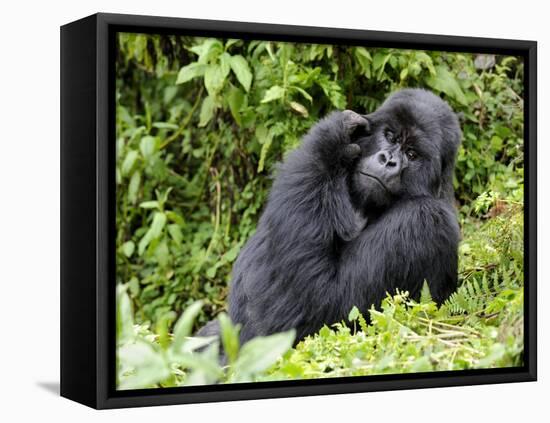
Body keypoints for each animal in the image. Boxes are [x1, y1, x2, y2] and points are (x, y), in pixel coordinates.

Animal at [201, 88, 464, 346]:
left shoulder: (424, 219)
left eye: (412, 154)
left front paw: (329, 141)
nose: (388, 160)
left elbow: (324, 305)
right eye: (390, 137)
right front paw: (339, 135)